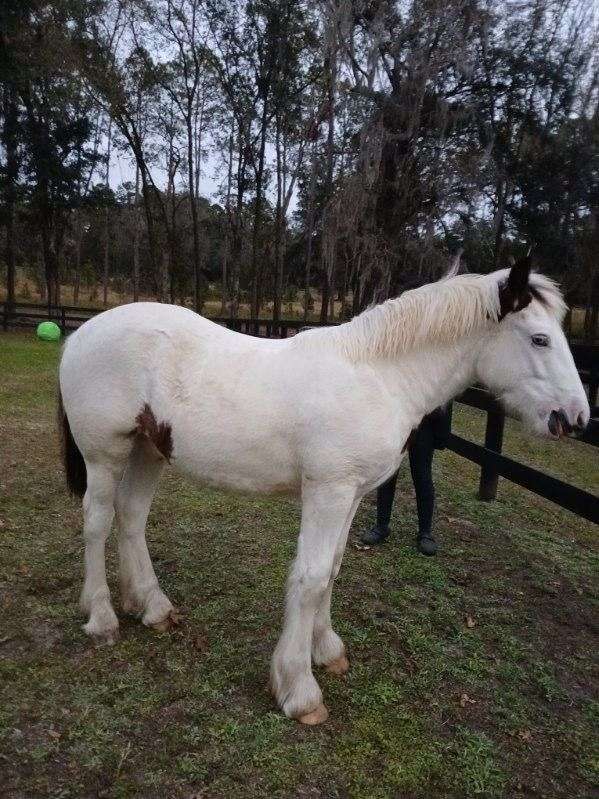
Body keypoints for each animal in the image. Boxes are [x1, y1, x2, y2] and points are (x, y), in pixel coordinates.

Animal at [57, 260, 592, 728]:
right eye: (540, 338)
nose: (576, 417)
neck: (379, 376)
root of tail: (81, 335)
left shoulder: (352, 495)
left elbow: (332, 568)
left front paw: (327, 650)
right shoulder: (328, 493)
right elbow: (310, 578)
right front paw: (298, 689)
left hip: (148, 451)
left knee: (131, 517)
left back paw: (151, 606)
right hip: (105, 456)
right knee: (97, 522)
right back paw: (102, 617)